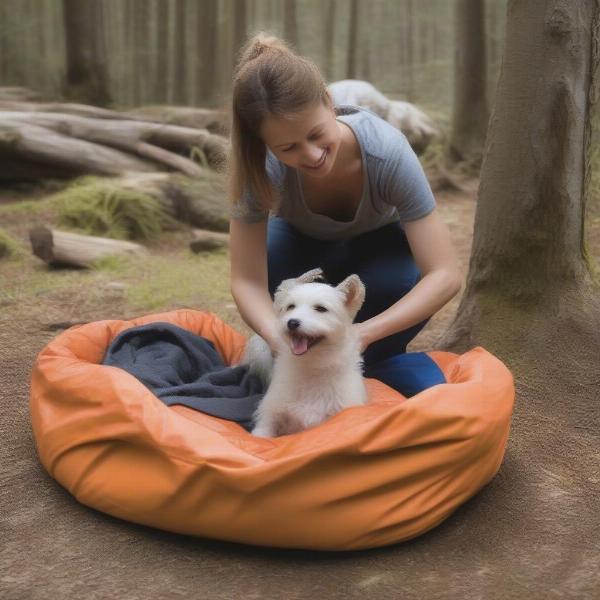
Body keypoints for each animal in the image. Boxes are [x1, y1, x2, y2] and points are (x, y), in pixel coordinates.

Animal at [241, 268, 368, 436]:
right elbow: (262, 433)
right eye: (290, 306)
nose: (292, 322)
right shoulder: (269, 416)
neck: (311, 366)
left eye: (321, 309)